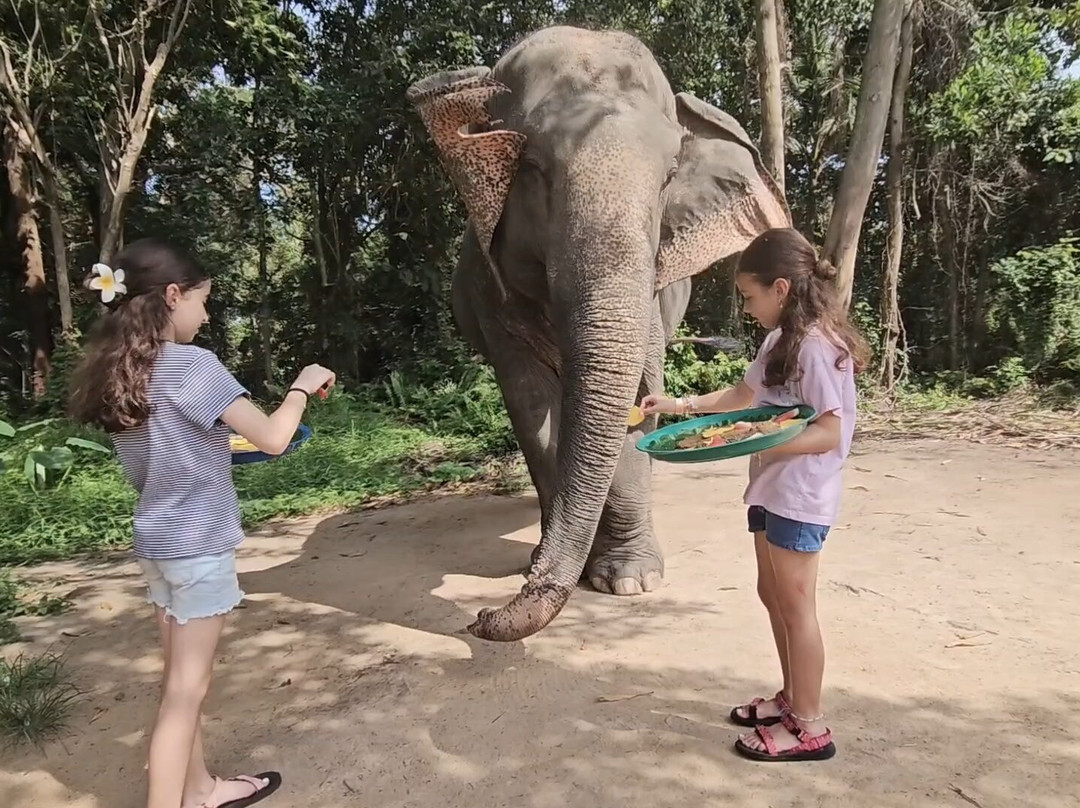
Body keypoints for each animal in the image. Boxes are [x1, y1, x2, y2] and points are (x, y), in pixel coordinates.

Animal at [406, 25, 790, 642]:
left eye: (668, 177)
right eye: (533, 166)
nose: (483, 617)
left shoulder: (653, 298)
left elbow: (637, 391)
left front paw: (629, 578)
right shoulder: (495, 300)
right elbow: (529, 405)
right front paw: (556, 564)